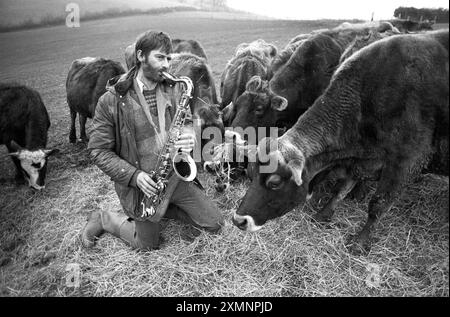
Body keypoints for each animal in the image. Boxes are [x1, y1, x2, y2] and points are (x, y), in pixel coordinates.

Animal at [230, 28, 448, 253]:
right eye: (252, 173)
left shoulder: (405, 163)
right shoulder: (359, 156)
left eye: (274, 182)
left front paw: (359, 241)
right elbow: (342, 187)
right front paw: (324, 213)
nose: (239, 220)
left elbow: (377, 205)